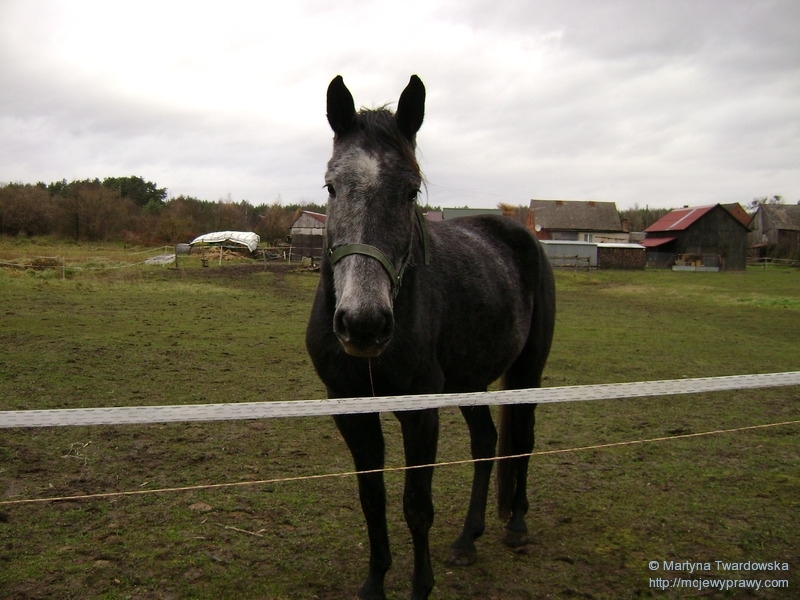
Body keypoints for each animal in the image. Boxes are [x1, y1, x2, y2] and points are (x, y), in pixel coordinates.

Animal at [305, 75, 556, 600]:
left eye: (410, 190)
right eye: (331, 186)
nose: (364, 323)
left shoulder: (420, 413)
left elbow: (416, 505)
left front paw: (421, 586)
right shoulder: (349, 408)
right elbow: (372, 498)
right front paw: (374, 582)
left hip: (528, 371)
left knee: (521, 439)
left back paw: (516, 526)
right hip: (468, 383)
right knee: (486, 442)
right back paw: (467, 539)